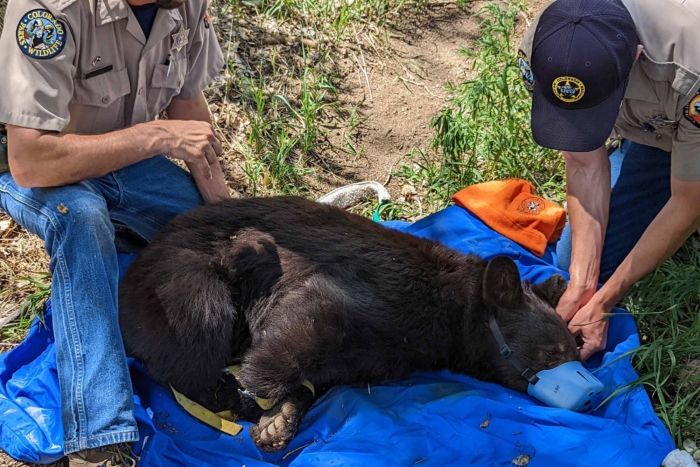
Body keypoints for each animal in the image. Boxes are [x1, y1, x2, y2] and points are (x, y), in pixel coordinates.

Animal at [118, 196, 578, 452]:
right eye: (555, 351)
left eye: (576, 347)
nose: (589, 397)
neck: (453, 311)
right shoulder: (378, 292)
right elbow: (309, 317)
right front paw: (255, 387)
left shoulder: (375, 354)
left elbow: (320, 377)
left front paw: (278, 421)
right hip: (182, 275)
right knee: (197, 329)